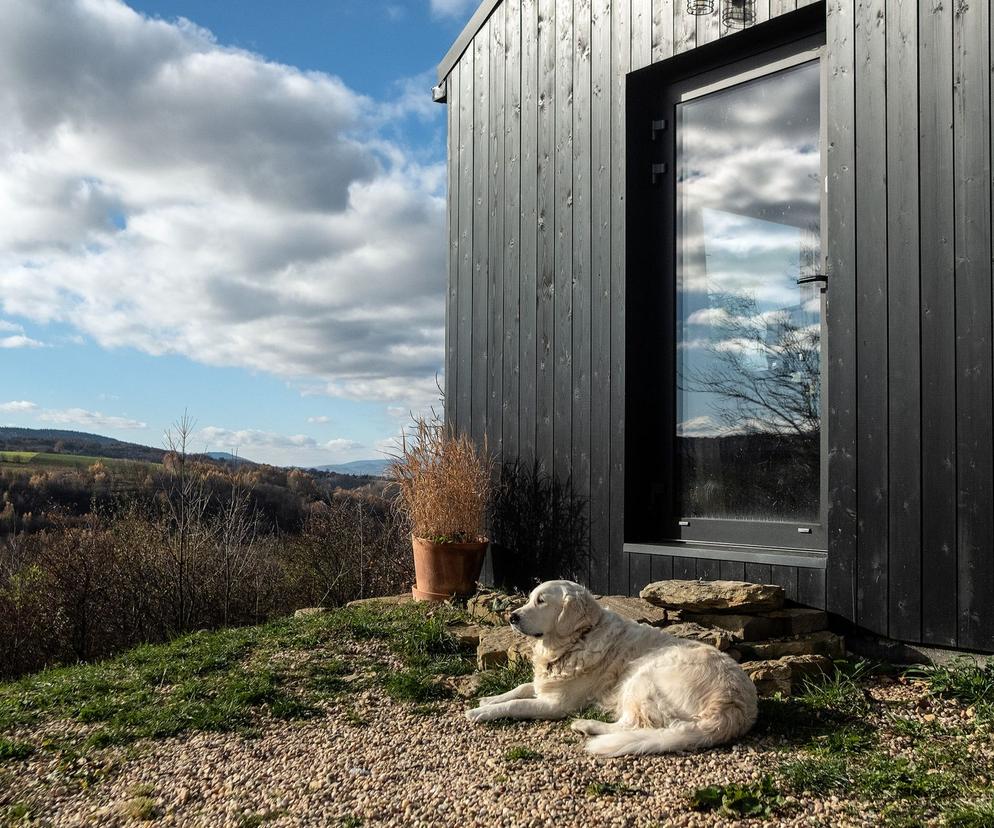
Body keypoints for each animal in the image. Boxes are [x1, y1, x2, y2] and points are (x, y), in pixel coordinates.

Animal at [462, 580, 756, 752]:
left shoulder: (557, 705)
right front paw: (490, 699)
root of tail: (732, 705)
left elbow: (518, 703)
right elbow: (522, 688)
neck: (577, 640)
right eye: (529, 598)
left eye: (541, 601)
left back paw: (587, 725)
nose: (512, 617)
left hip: (642, 678)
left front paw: (481, 712)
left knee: (633, 726)